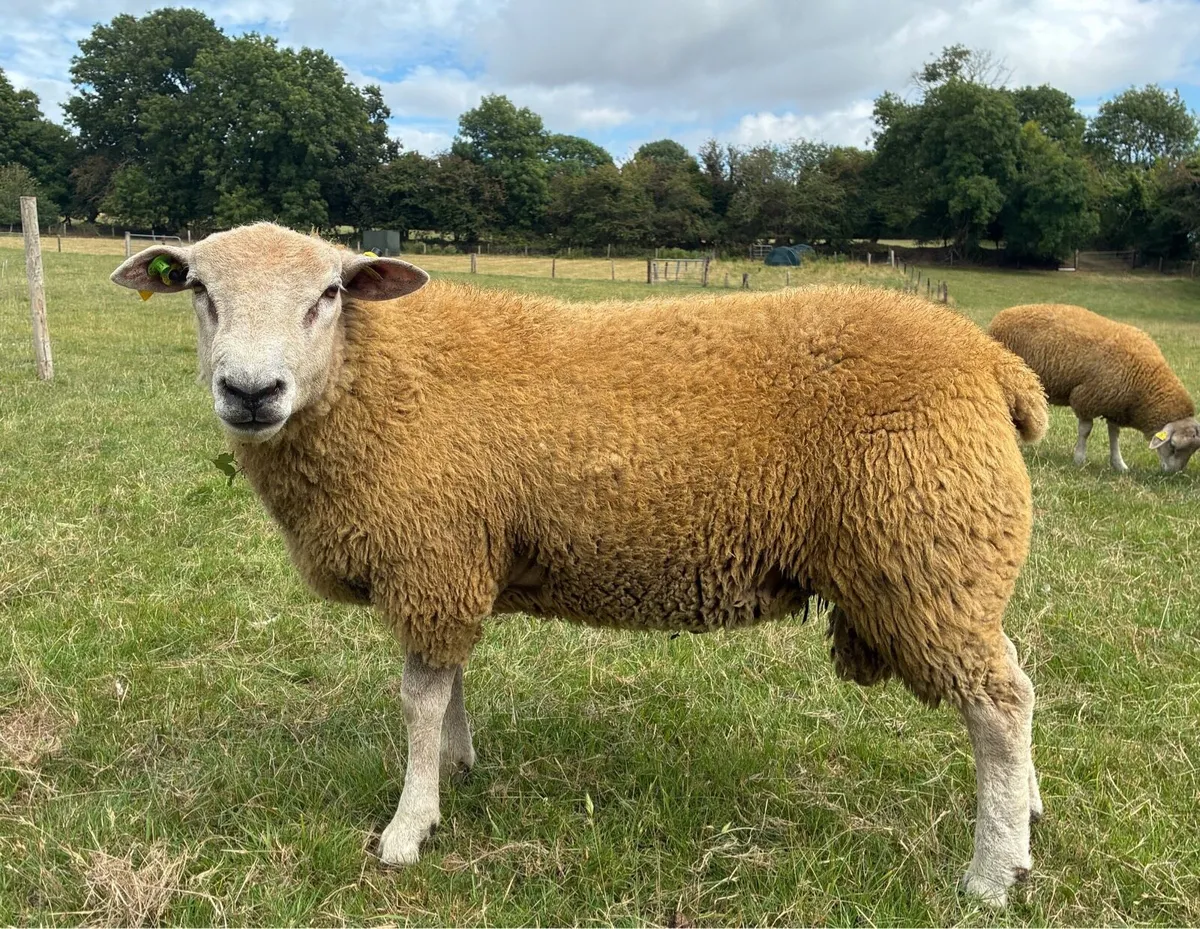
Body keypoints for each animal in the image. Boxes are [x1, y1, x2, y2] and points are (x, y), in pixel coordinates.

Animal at [112, 222, 1050, 906]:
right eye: (199, 290)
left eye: (329, 294)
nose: (250, 391)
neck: (373, 376)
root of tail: (994, 363)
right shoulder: (461, 558)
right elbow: (450, 681)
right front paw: (457, 766)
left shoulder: (431, 553)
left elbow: (418, 697)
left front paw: (409, 825)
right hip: (955, 565)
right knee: (1016, 679)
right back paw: (1027, 814)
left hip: (926, 553)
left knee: (998, 706)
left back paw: (991, 872)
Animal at [988, 303, 1200, 474]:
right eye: (1173, 446)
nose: (1172, 474)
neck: (1145, 383)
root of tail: (1001, 316)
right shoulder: (1086, 398)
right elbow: (1086, 430)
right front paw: (1079, 459)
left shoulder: (1115, 405)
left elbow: (1114, 435)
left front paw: (1118, 464)